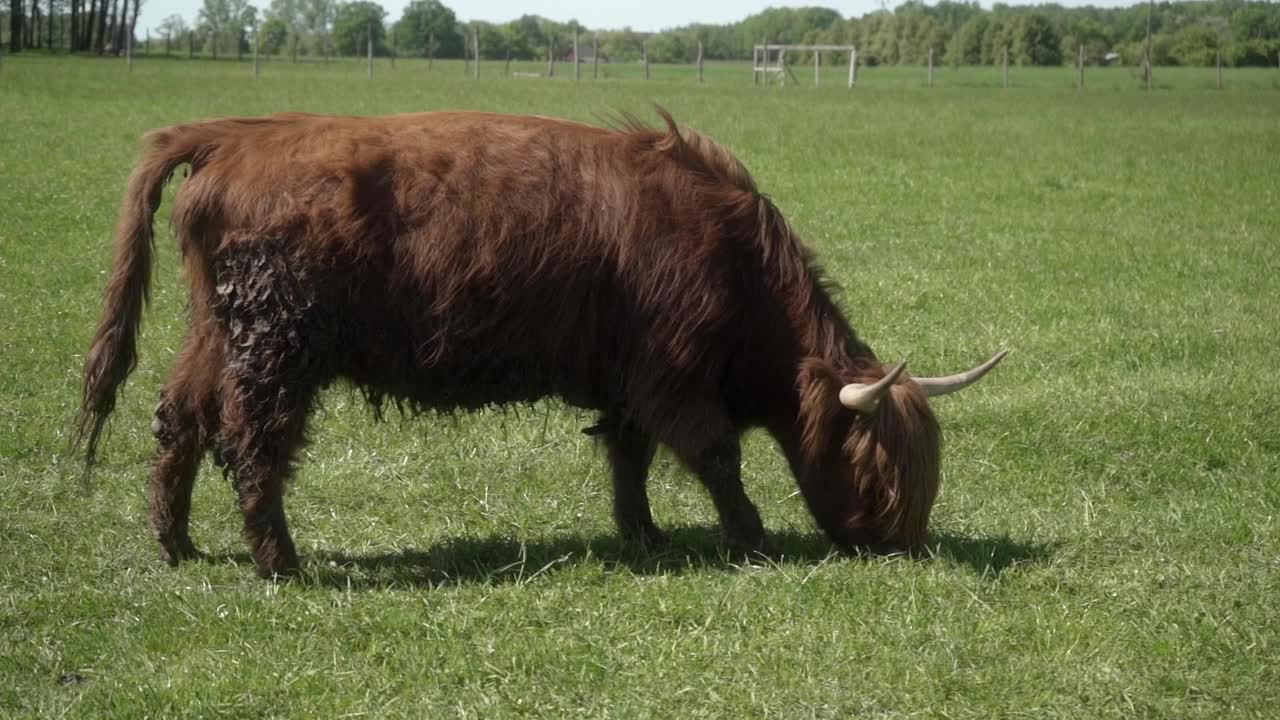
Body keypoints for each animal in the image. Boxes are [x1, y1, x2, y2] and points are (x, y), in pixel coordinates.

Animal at [74, 107, 1003, 576]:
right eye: (875, 465)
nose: (899, 544)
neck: (733, 260)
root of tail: (239, 135)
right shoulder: (671, 371)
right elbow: (714, 456)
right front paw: (752, 539)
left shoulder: (632, 375)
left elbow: (630, 454)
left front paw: (643, 533)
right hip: (280, 342)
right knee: (252, 440)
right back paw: (280, 561)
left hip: (216, 325)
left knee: (180, 419)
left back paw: (179, 544)